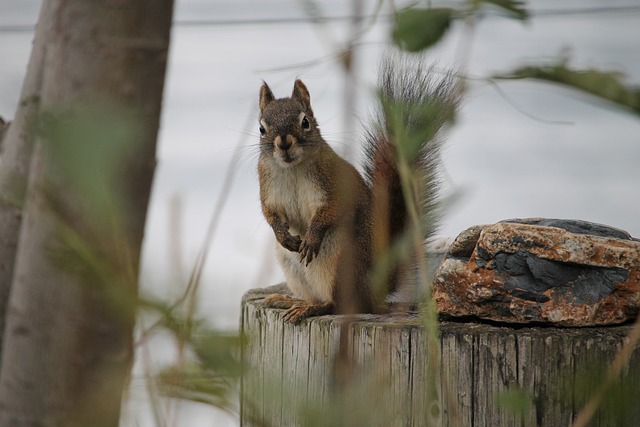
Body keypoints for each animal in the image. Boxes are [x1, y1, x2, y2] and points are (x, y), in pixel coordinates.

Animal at [256, 56, 460, 324]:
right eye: (261, 128)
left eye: (305, 122)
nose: (284, 142)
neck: (292, 169)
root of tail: (373, 293)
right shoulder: (267, 188)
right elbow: (270, 214)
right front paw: (282, 234)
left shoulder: (335, 184)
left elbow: (333, 210)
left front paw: (311, 237)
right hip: (293, 267)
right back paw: (292, 301)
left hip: (341, 264)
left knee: (339, 305)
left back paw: (315, 308)